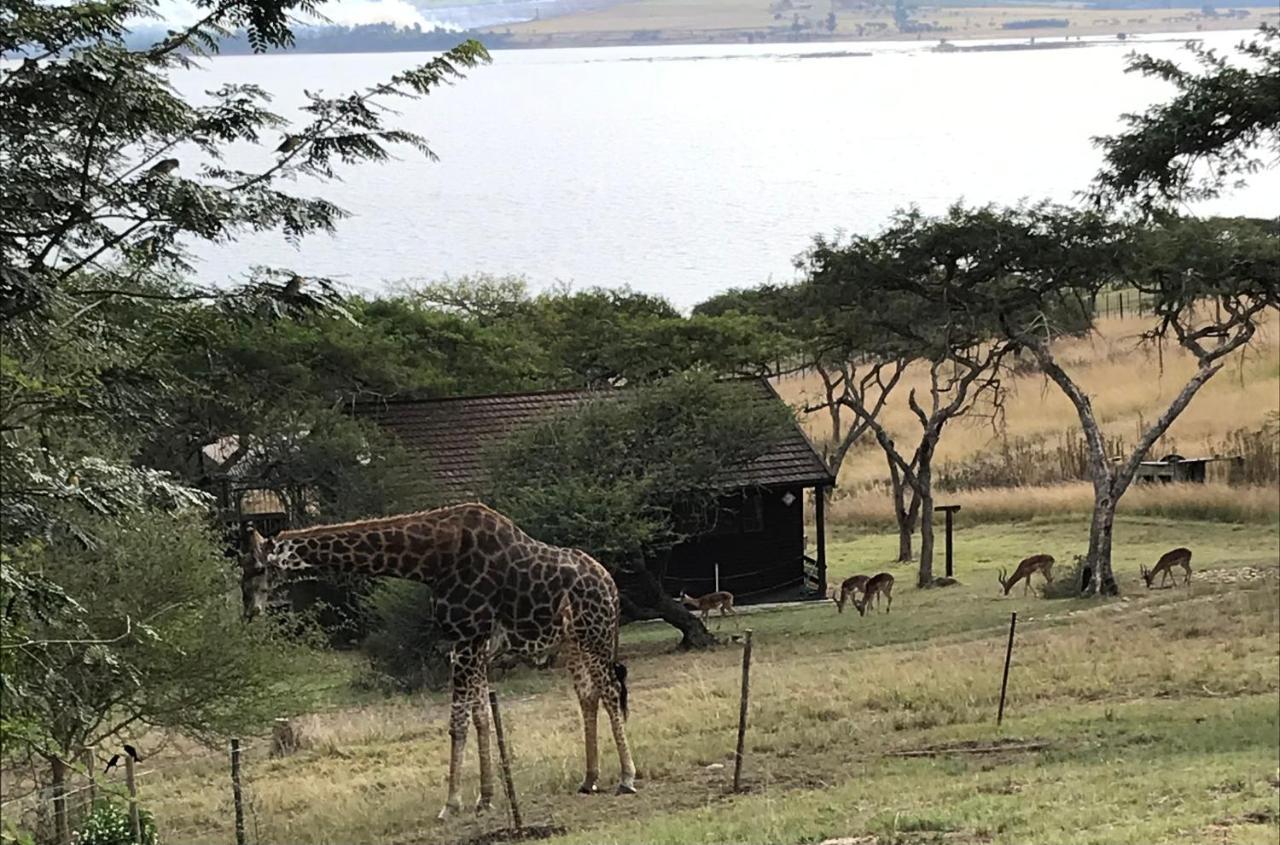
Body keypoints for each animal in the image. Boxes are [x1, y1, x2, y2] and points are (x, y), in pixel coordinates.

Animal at [241, 501, 637, 819]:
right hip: (573, 642)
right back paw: (589, 780)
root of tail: (611, 586)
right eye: (243, 568)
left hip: (595, 634)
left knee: (610, 691)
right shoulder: (468, 645)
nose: (249, 610)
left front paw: (451, 804)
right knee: (588, 695)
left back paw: (627, 778)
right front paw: (485, 799)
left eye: (258, 568)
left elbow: (457, 722)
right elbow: (480, 716)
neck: (431, 562)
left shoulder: (467, 639)